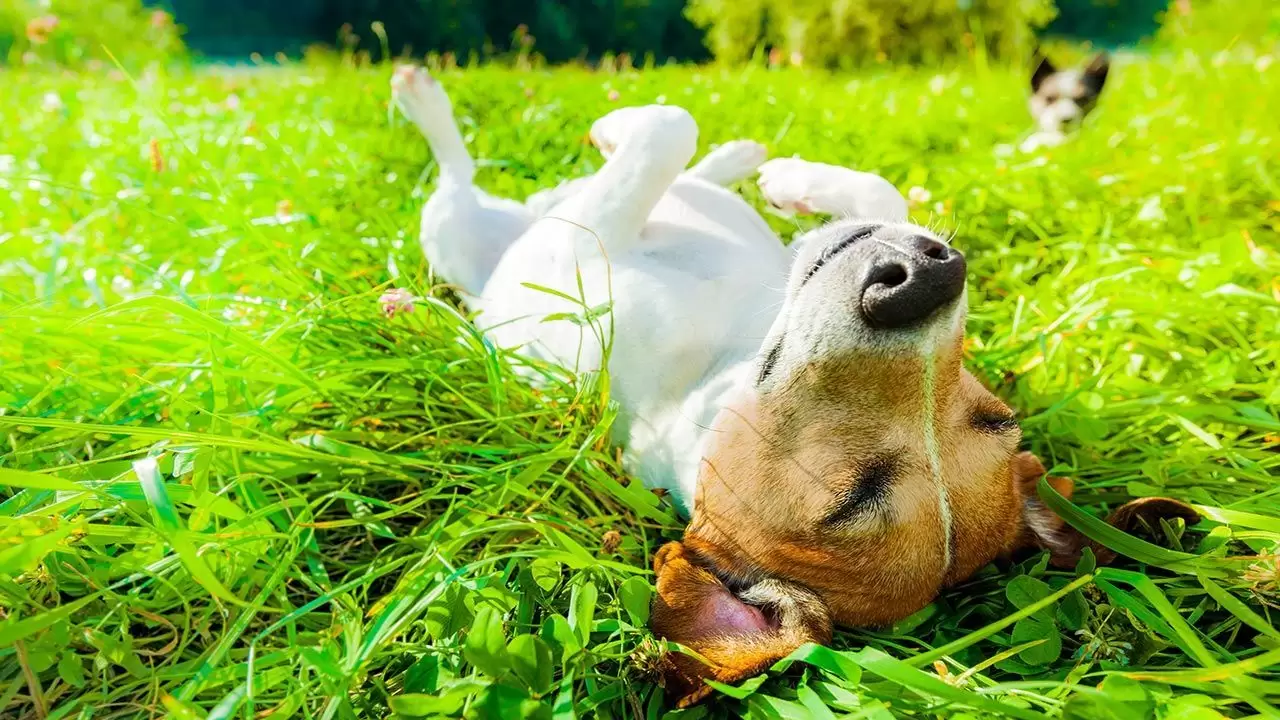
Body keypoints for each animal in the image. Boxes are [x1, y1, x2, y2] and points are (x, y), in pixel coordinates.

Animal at [391, 64, 1198, 702]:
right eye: (997, 416)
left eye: (851, 499)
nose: (923, 281)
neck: (729, 351)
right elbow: (866, 188)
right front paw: (792, 182)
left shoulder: (579, 262)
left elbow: (665, 131)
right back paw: (736, 158)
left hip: (455, 236)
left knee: (458, 182)